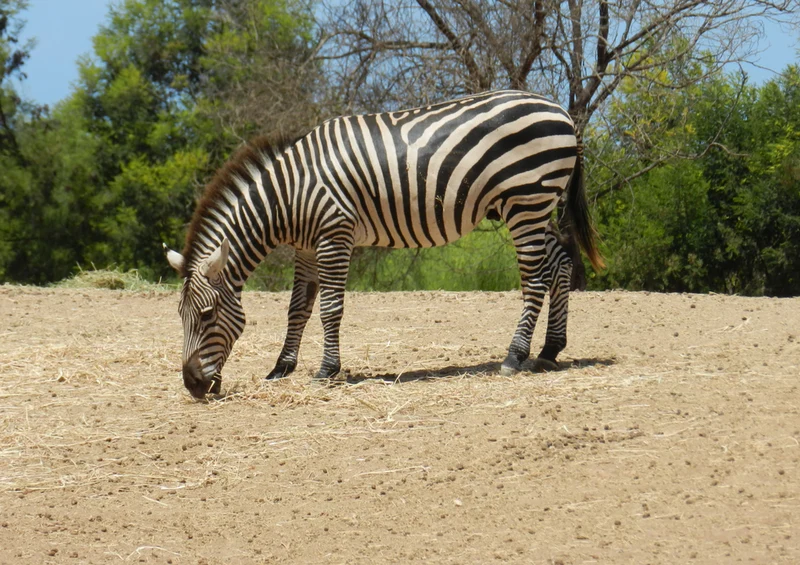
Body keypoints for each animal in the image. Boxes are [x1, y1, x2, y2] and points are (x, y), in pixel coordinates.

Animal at [164, 90, 603, 398]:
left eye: (206, 316)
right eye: (181, 317)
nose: (192, 386)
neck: (287, 196)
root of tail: (561, 110)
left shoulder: (334, 234)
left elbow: (330, 308)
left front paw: (326, 371)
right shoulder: (306, 247)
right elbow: (297, 309)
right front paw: (281, 368)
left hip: (525, 200)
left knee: (534, 278)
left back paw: (514, 356)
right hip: (534, 206)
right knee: (560, 264)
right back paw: (550, 350)